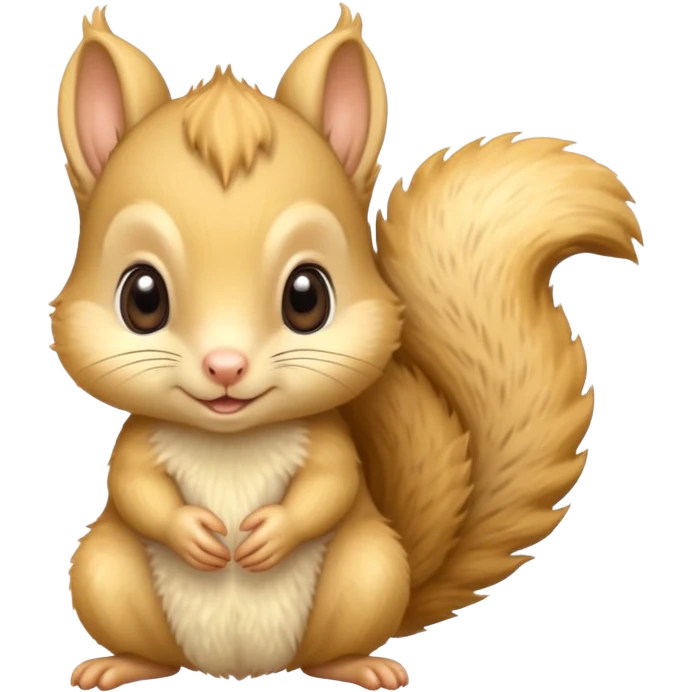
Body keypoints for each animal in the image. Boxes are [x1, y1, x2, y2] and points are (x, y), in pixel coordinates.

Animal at [53, 4, 643, 691]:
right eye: (141, 298)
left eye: (307, 296)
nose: (225, 365)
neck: (231, 439)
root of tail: (239, 668)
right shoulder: (138, 445)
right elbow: (133, 487)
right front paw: (193, 531)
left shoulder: (329, 443)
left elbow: (330, 486)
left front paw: (269, 533)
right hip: (104, 571)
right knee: (150, 644)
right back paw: (121, 663)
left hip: (368, 571)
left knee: (328, 649)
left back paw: (360, 664)